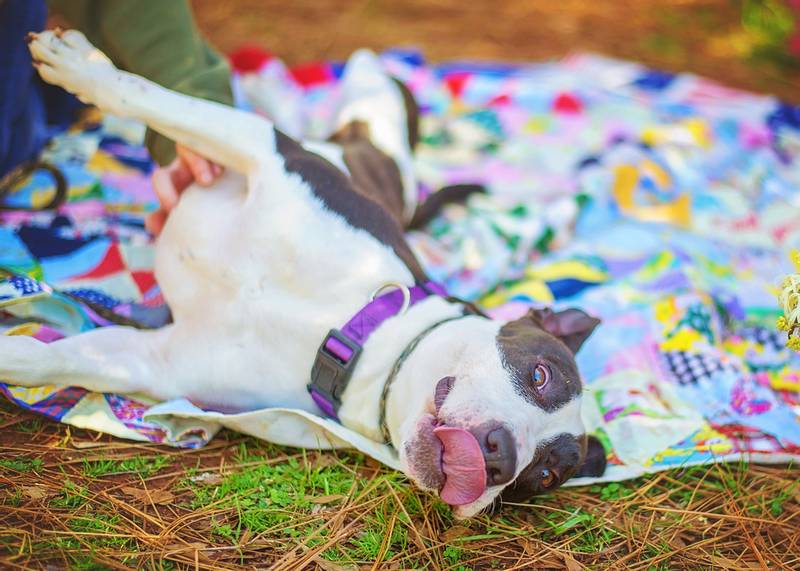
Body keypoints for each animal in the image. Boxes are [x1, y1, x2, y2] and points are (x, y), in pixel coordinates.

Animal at [1, 30, 608, 520]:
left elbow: (60, 356)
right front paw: (81, 67)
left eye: (542, 476)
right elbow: (153, 98)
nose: (503, 456)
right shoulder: (268, 152)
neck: (349, 331)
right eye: (540, 375)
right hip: (373, 95)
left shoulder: (159, 363)